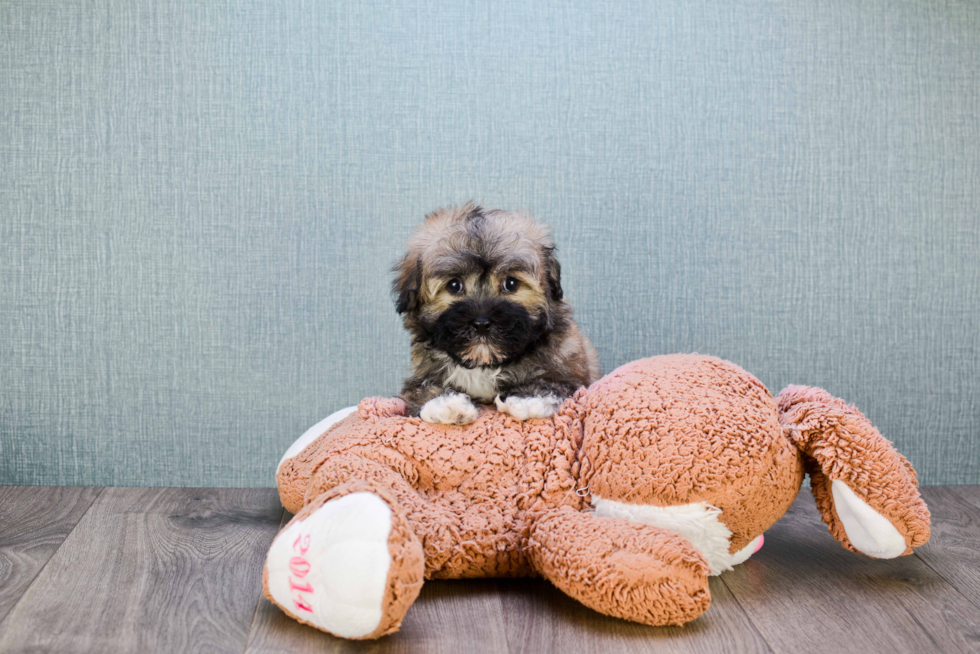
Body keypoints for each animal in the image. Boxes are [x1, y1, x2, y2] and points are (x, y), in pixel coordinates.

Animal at [390, 204, 596, 426]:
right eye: (454, 285)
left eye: (511, 283)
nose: (482, 322)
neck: (485, 364)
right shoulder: (421, 373)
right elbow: (420, 389)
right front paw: (446, 403)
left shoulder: (571, 375)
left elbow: (552, 382)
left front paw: (526, 399)